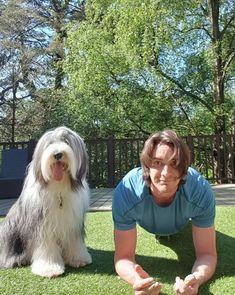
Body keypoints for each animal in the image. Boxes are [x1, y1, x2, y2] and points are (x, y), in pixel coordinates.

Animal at [0, 126, 92, 278]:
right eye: (50, 143)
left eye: (66, 141)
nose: (58, 154)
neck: (58, 188)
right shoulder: (42, 225)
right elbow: (46, 246)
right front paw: (49, 268)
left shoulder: (73, 221)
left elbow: (74, 241)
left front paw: (78, 259)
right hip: (10, 229)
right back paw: (17, 259)